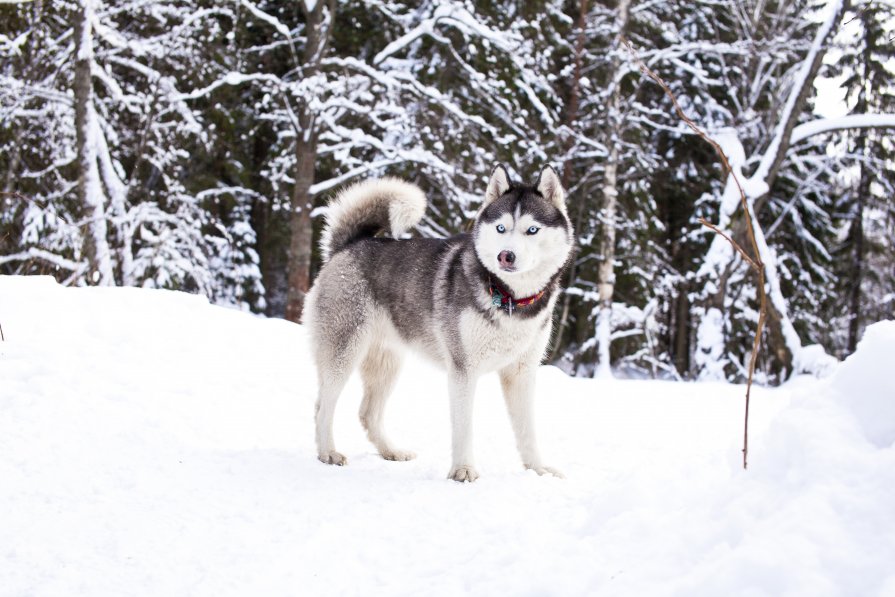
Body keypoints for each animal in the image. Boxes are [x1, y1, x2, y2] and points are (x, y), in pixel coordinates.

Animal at [304, 163, 576, 480]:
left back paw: (391, 451)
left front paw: (538, 469)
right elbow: (464, 427)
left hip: (388, 362)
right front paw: (463, 469)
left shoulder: (522, 373)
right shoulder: (463, 370)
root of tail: (348, 246)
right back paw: (328, 452)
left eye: (532, 229)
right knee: (322, 406)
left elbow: (528, 430)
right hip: (344, 351)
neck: (509, 298)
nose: (505, 256)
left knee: (368, 413)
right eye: (501, 228)